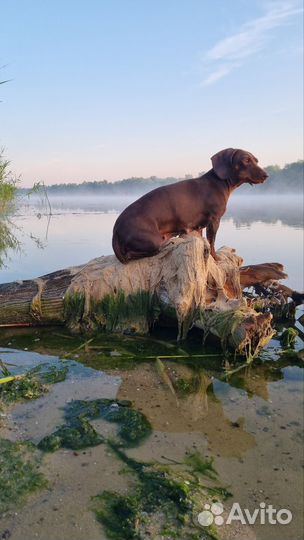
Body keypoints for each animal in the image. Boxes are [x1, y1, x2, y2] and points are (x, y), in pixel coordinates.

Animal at [112, 149, 268, 262]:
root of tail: (116, 230)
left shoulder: (198, 227)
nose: (266, 175)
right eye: (246, 160)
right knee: (133, 254)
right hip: (152, 240)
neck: (219, 182)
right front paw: (215, 258)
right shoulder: (214, 220)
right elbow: (212, 242)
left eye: (256, 160)